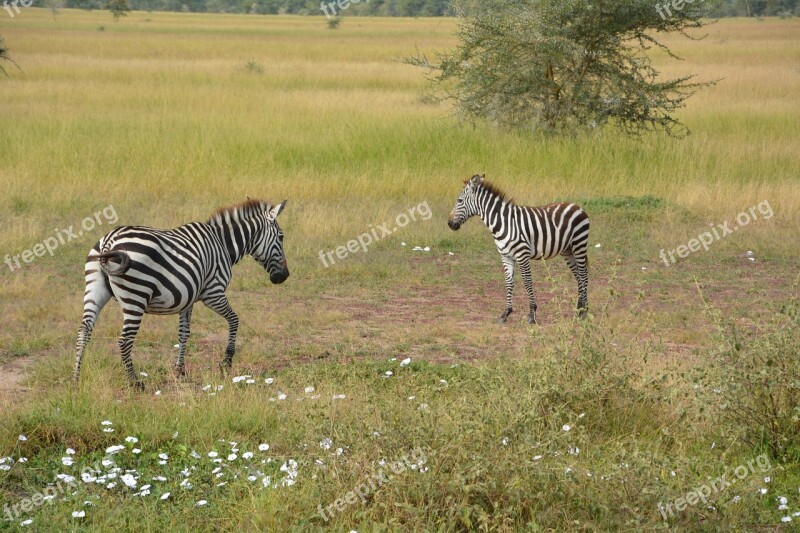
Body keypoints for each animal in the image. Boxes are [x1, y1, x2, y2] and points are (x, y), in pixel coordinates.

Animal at [73, 197, 290, 388]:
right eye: (281, 237)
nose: (284, 276)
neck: (223, 245)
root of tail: (109, 241)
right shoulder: (213, 293)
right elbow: (234, 320)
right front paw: (226, 362)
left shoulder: (188, 299)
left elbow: (184, 333)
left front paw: (180, 370)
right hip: (136, 296)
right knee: (124, 340)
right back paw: (135, 382)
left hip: (94, 289)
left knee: (84, 330)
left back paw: (76, 378)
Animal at [446, 175, 592, 324]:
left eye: (459, 200)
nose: (450, 224)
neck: (503, 223)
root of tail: (576, 206)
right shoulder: (506, 256)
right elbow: (509, 282)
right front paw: (505, 313)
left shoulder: (522, 255)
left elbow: (527, 282)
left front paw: (532, 314)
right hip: (567, 251)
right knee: (578, 276)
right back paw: (579, 310)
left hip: (579, 244)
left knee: (583, 275)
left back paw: (583, 312)